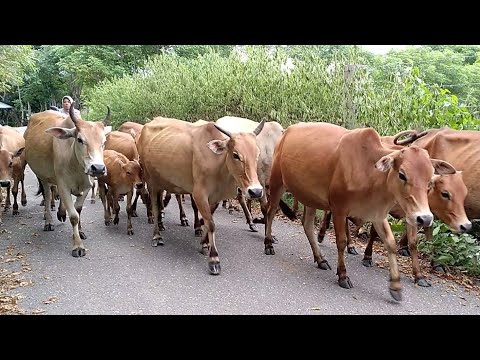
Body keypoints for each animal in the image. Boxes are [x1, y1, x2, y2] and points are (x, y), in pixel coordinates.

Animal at [24, 103, 109, 256]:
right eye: (80, 140)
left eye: (104, 142)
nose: (98, 168)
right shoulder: (63, 185)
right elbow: (74, 216)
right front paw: (78, 246)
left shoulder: (86, 187)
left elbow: (78, 210)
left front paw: (79, 232)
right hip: (42, 176)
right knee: (47, 196)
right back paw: (48, 221)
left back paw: (61, 213)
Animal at [139, 116, 264, 274]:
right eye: (236, 155)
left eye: (257, 154)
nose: (256, 191)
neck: (219, 165)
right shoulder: (199, 194)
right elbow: (211, 224)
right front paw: (214, 258)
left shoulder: (215, 198)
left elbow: (207, 220)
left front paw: (204, 243)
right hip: (151, 181)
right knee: (155, 208)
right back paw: (156, 236)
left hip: (162, 182)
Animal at [264, 121, 456, 300]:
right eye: (402, 174)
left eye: (430, 179)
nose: (424, 218)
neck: (369, 170)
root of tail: (287, 131)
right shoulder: (339, 209)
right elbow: (341, 242)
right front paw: (343, 275)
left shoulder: (378, 215)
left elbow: (390, 243)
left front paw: (395, 285)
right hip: (277, 182)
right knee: (271, 212)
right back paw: (268, 243)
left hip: (309, 197)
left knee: (307, 225)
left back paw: (320, 259)